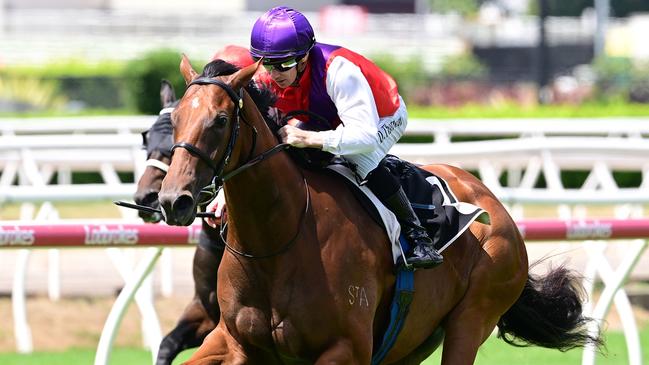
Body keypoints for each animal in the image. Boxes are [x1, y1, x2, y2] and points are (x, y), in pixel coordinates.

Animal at [157, 57, 604, 364]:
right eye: (174, 118)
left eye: (219, 120)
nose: (173, 199)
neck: (277, 241)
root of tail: (495, 205)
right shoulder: (231, 341)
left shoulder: (346, 349)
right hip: (410, 341)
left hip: (472, 318)